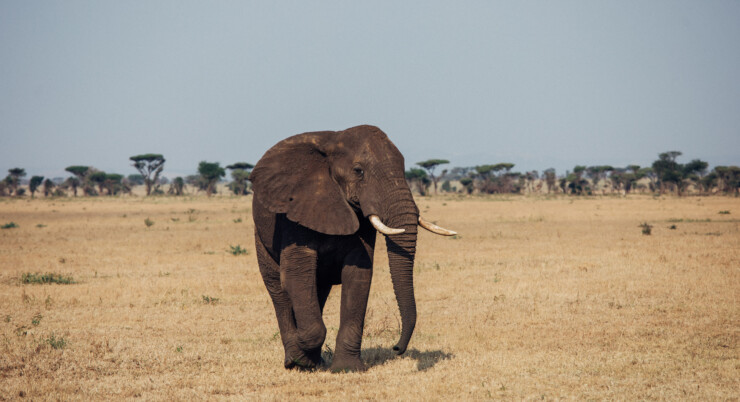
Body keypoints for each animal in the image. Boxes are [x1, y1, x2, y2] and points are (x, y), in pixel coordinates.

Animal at [251, 124, 454, 372]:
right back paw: (295, 361)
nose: (396, 348)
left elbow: (358, 274)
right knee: (278, 289)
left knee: (318, 289)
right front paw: (300, 353)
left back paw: (314, 361)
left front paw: (347, 368)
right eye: (358, 171)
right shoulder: (295, 211)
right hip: (261, 236)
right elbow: (296, 274)